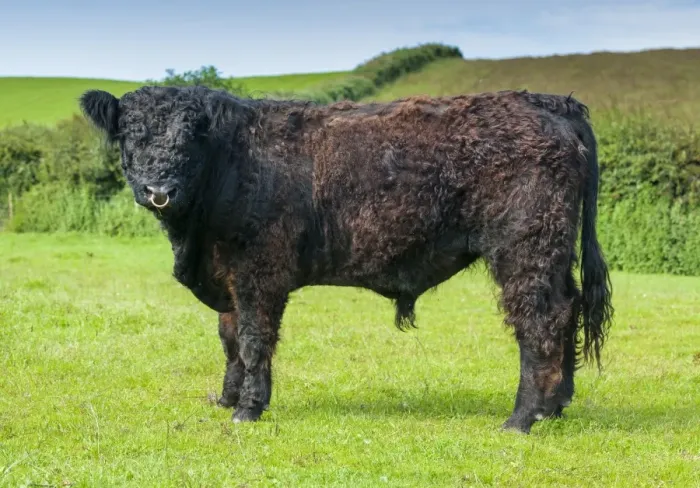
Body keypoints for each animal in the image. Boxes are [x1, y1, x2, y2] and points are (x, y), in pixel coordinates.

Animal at [79, 85, 613, 434]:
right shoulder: (228, 278)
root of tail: (546, 101)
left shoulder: (258, 274)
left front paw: (248, 409)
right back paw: (557, 405)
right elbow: (229, 340)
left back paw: (522, 418)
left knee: (539, 323)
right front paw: (227, 397)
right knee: (568, 311)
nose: (159, 190)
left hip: (525, 249)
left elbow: (253, 340)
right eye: (131, 135)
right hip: (554, 254)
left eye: (190, 138)